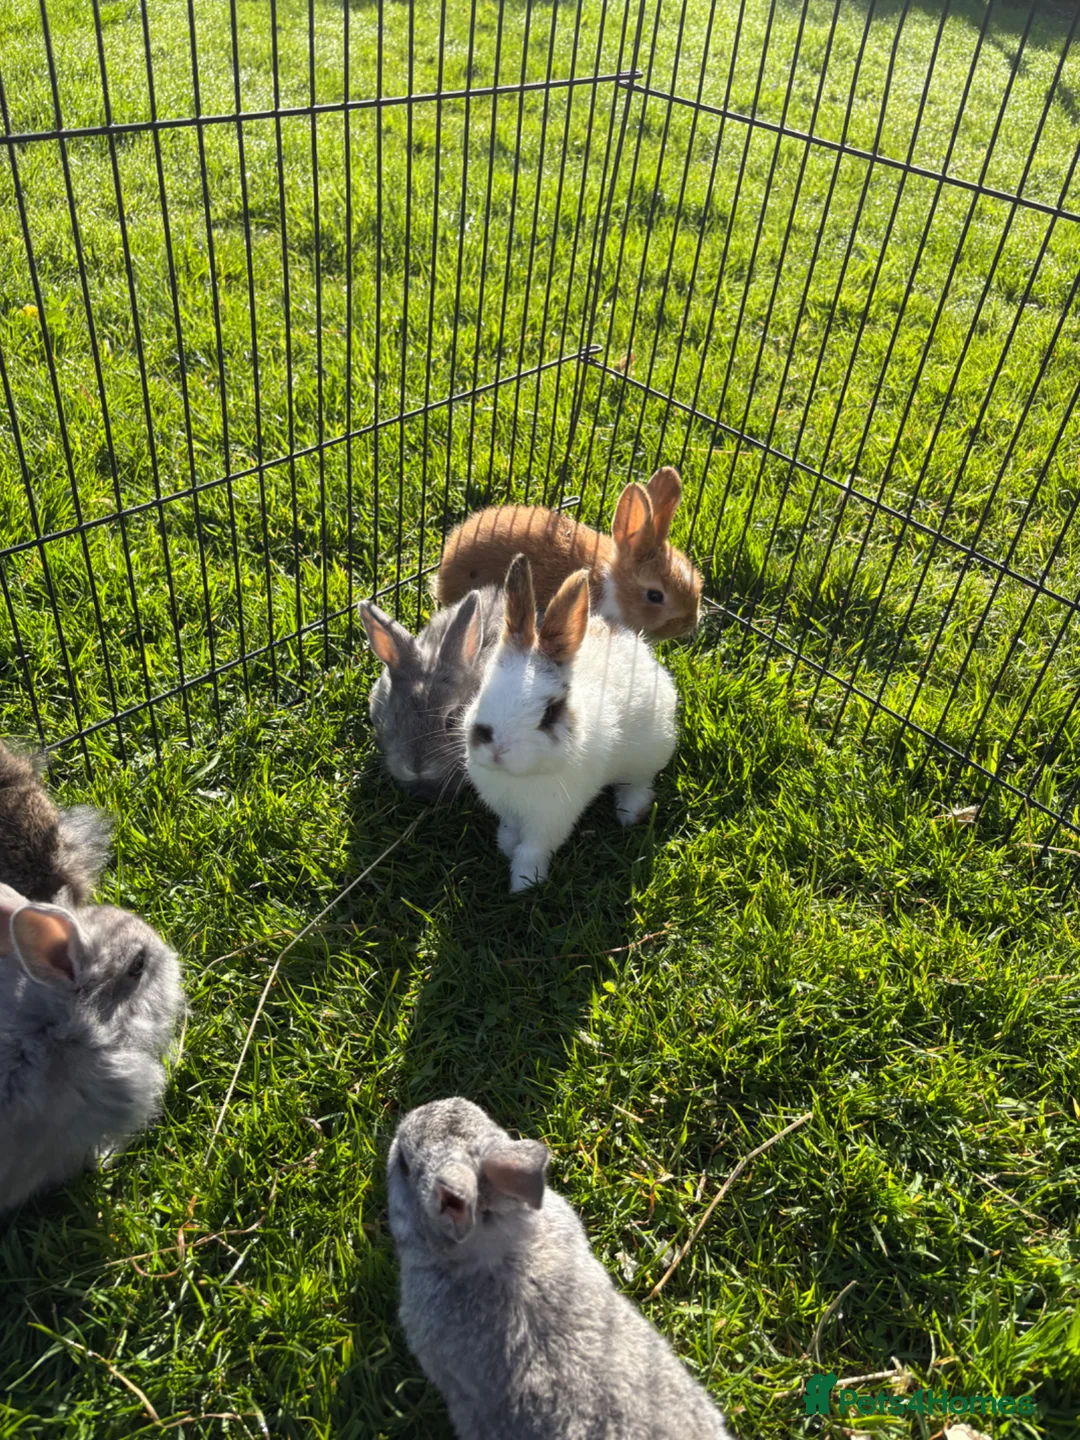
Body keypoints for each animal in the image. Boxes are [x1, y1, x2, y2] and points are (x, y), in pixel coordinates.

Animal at [463, 554, 678, 891]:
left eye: (550, 712)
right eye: (482, 690)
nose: (497, 749)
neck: (518, 778)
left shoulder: (551, 819)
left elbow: (533, 849)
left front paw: (524, 883)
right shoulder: (508, 810)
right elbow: (511, 832)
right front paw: (506, 846)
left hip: (650, 751)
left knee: (639, 782)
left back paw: (631, 812)